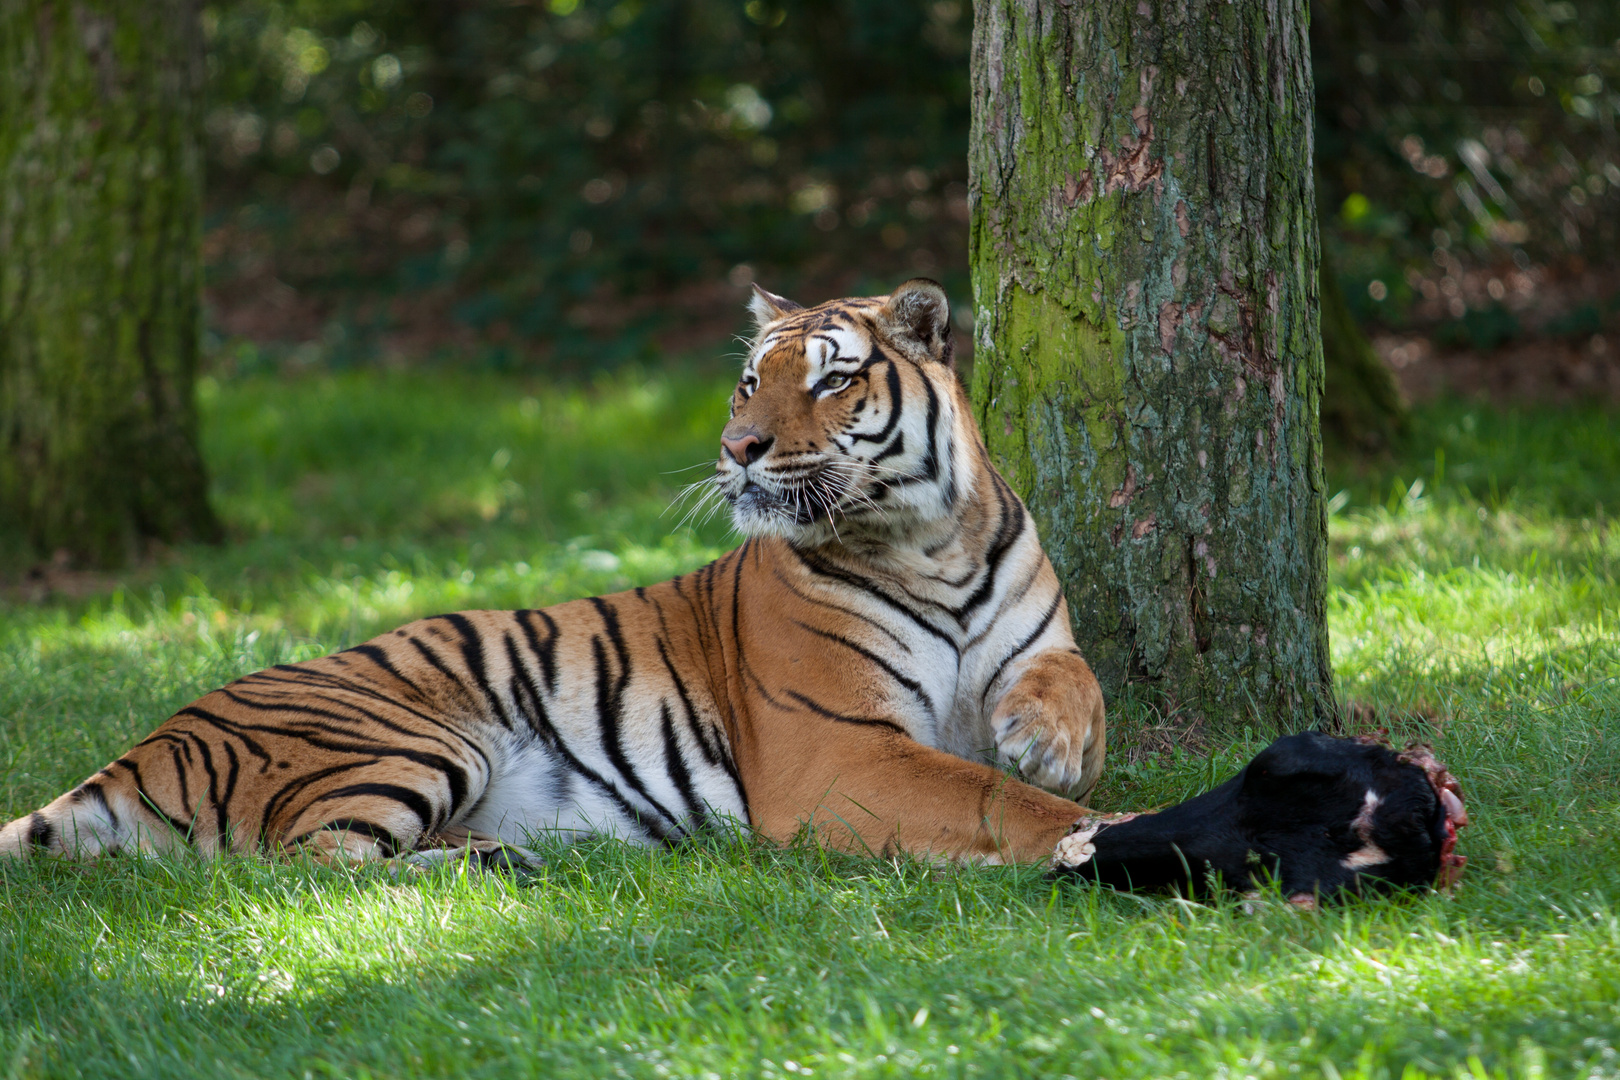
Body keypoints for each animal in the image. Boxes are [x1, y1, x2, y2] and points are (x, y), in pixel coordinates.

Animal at [0, 276, 1101, 867]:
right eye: (751, 381)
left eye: (832, 381)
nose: (738, 447)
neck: (927, 541)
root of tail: (147, 743)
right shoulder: (838, 753)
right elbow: (993, 801)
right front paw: (1094, 830)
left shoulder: (1035, 636)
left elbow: (1073, 681)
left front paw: (1049, 741)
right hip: (413, 737)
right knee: (303, 864)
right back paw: (495, 865)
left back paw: (498, 856)